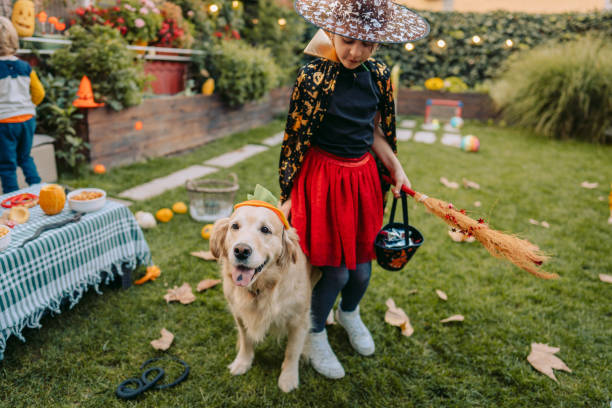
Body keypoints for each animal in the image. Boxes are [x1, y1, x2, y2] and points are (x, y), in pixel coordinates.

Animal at [210, 204, 316, 392]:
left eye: (265, 229)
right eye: (235, 226)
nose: (241, 250)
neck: (261, 287)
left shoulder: (299, 320)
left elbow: (292, 351)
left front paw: (288, 378)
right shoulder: (239, 314)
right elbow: (246, 340)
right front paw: (242, 362)